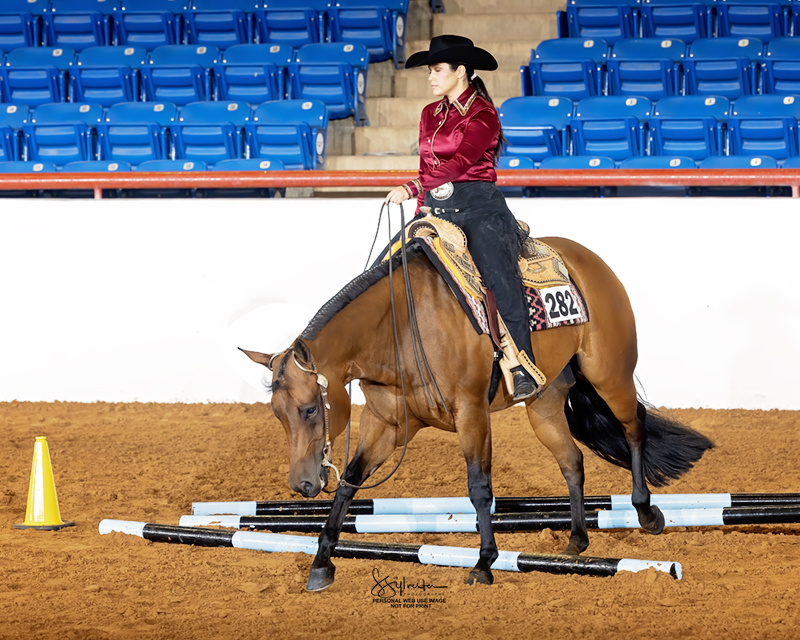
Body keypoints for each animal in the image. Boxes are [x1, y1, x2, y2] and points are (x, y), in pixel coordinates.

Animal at [242, 236, 714, 592]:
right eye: (277, 414)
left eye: (308, 408)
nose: (301, 484)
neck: (401, 327)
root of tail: (589, 261)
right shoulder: (385, 425)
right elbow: (349, 485)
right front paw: (321, 562)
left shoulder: (471, 413)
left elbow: (480, 488)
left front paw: (484, 563)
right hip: (544, 403)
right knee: (572, 461)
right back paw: (577, 541)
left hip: (610, 375)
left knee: (634, 428)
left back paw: (647, 513)